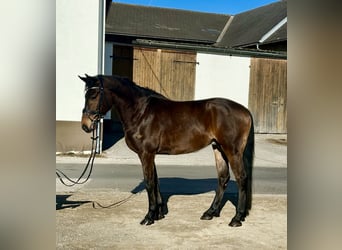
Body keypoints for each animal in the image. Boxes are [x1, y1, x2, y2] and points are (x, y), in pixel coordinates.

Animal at [80, 73, 254, 227]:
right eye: (85, 95)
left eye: (94, 95)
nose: (85, 125)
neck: (141, 113)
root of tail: (245, 111)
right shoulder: (151, 155)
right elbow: (156, 181)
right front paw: (159, 213)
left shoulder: (146, 154)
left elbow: (149, 182)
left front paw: (149, 217)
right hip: (218, 148)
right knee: (223, 178)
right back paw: (210, 212)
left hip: (232, 151)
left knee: (241, 178)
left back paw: (236, 218)